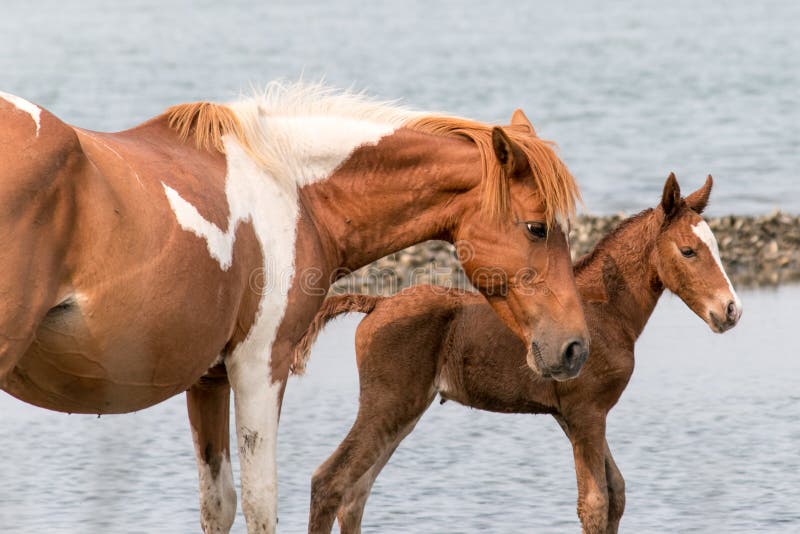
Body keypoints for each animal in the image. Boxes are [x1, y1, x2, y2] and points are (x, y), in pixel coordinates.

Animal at [0, 82, 589, 533]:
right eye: (537, 227)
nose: (574, 347)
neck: (292, 188)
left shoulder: (209, 380)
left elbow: (219, 504)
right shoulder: (261, 365)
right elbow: (263, 503)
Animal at [296, 173, 743, 533]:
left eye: (717, 248)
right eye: (688, 251)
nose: (730, 310)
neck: (605, 310)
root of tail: (376, 304)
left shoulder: (576, 415)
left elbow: (616, 492)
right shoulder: (586, 412)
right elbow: (595, 503)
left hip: (404, 410)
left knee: (356, 493)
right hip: (387, 403)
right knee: (330, 481)